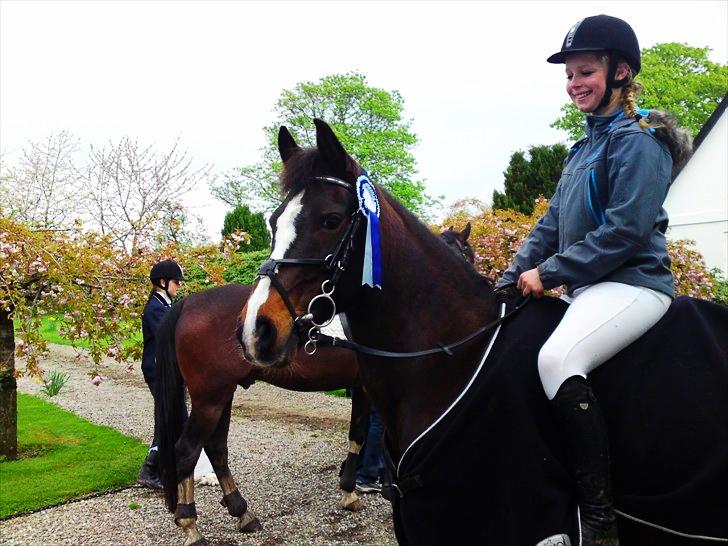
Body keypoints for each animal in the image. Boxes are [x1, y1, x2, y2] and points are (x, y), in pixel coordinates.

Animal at [154, 226, 474, 545]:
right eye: (464, 254)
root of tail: (187, 303)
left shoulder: (360, 389)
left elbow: (358, 436)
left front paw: (349, 492)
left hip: (223, 394)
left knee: (216, 448)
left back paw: (242, 512)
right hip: (210, 397)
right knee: (187, 450)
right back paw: (191, 525)